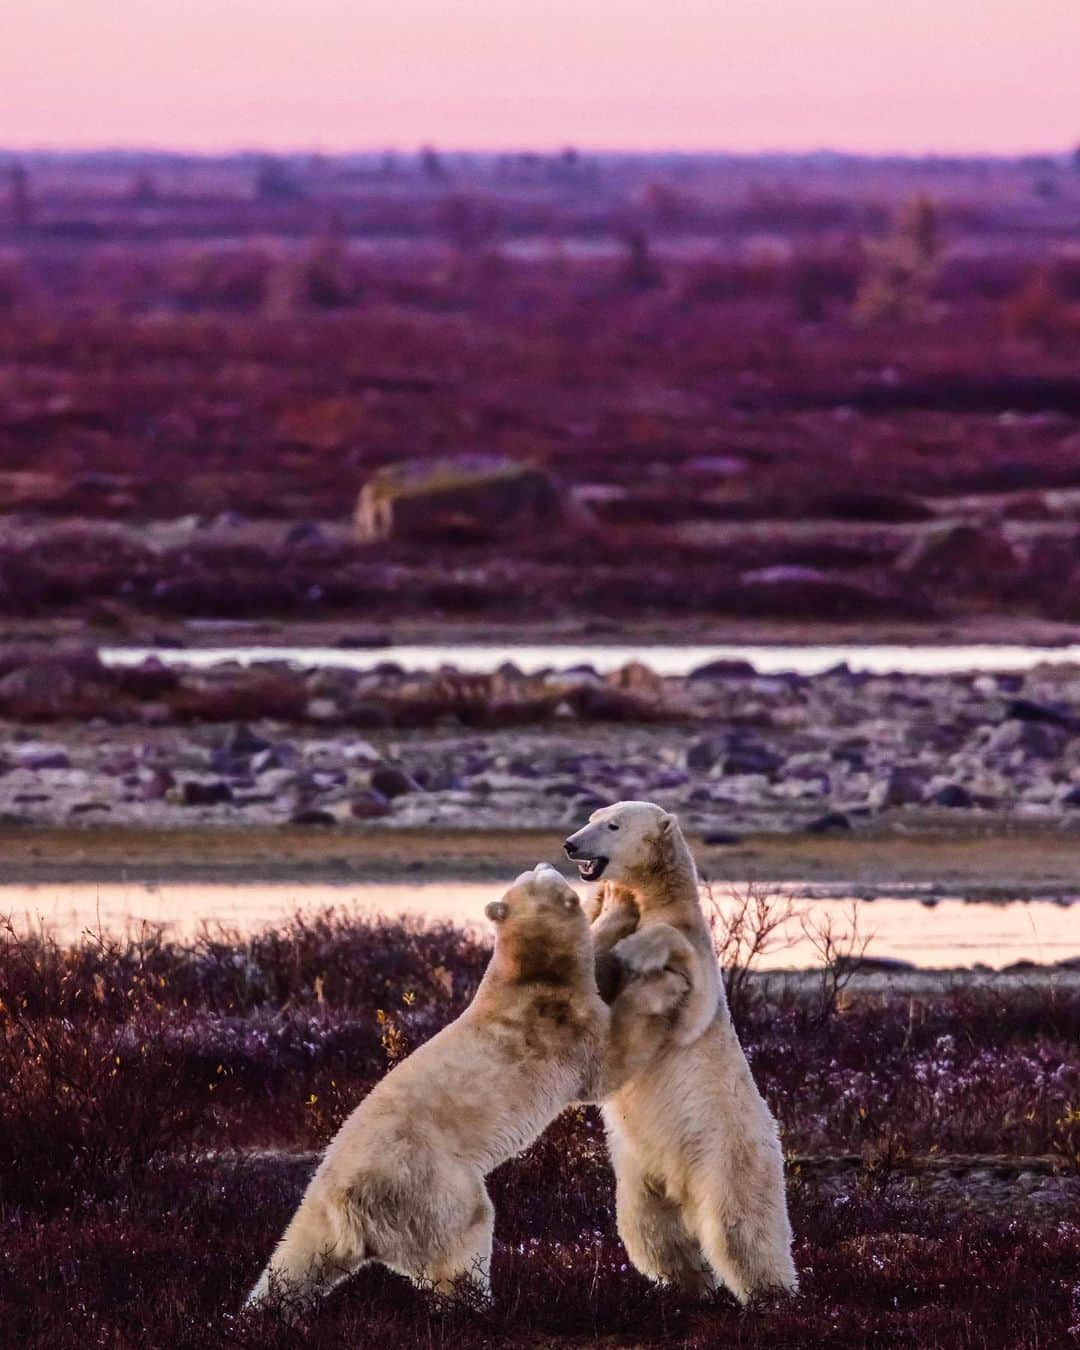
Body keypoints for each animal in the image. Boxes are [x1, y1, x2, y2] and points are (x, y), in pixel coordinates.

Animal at [247, 858, 691, 1312]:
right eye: (538, 876)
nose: (548, 860)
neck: (525, 970)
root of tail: (344, 1201)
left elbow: (599, 962)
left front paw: (612, 906)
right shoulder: (561, 1028)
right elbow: (610, 1062)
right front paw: (661, 981)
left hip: (320, 1207)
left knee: (297, 1257)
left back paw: (261, 1306)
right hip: (428, 1186)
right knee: (464, 1235)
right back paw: (481, 1305)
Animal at [564, 804, 793, 1301]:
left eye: (613, 825)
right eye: (592, 816)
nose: (571, 844)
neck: (656, 896)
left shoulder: (698, 958)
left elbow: (689, 999)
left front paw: (635, 941)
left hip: (727, 1156)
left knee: (739, 1228)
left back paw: (770, 1292)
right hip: (638, 1173)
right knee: (650, 1230)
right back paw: (687, 1284)